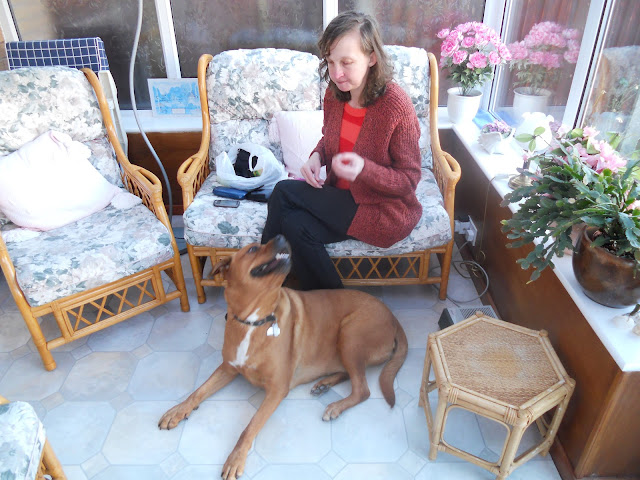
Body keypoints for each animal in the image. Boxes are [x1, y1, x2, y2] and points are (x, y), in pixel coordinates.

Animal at [158, 234, 408, 478]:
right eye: (252, 249)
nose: (282, 236)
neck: (254, 320)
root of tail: (394, 318)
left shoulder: (277, 388)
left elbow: (250, 426)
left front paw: (236, 458)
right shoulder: (227, 368)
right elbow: (198, 392)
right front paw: (178, 410)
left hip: (350, 334)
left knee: (363, 389)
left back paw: (336, 406)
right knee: (351, 375)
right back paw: (325, 384)